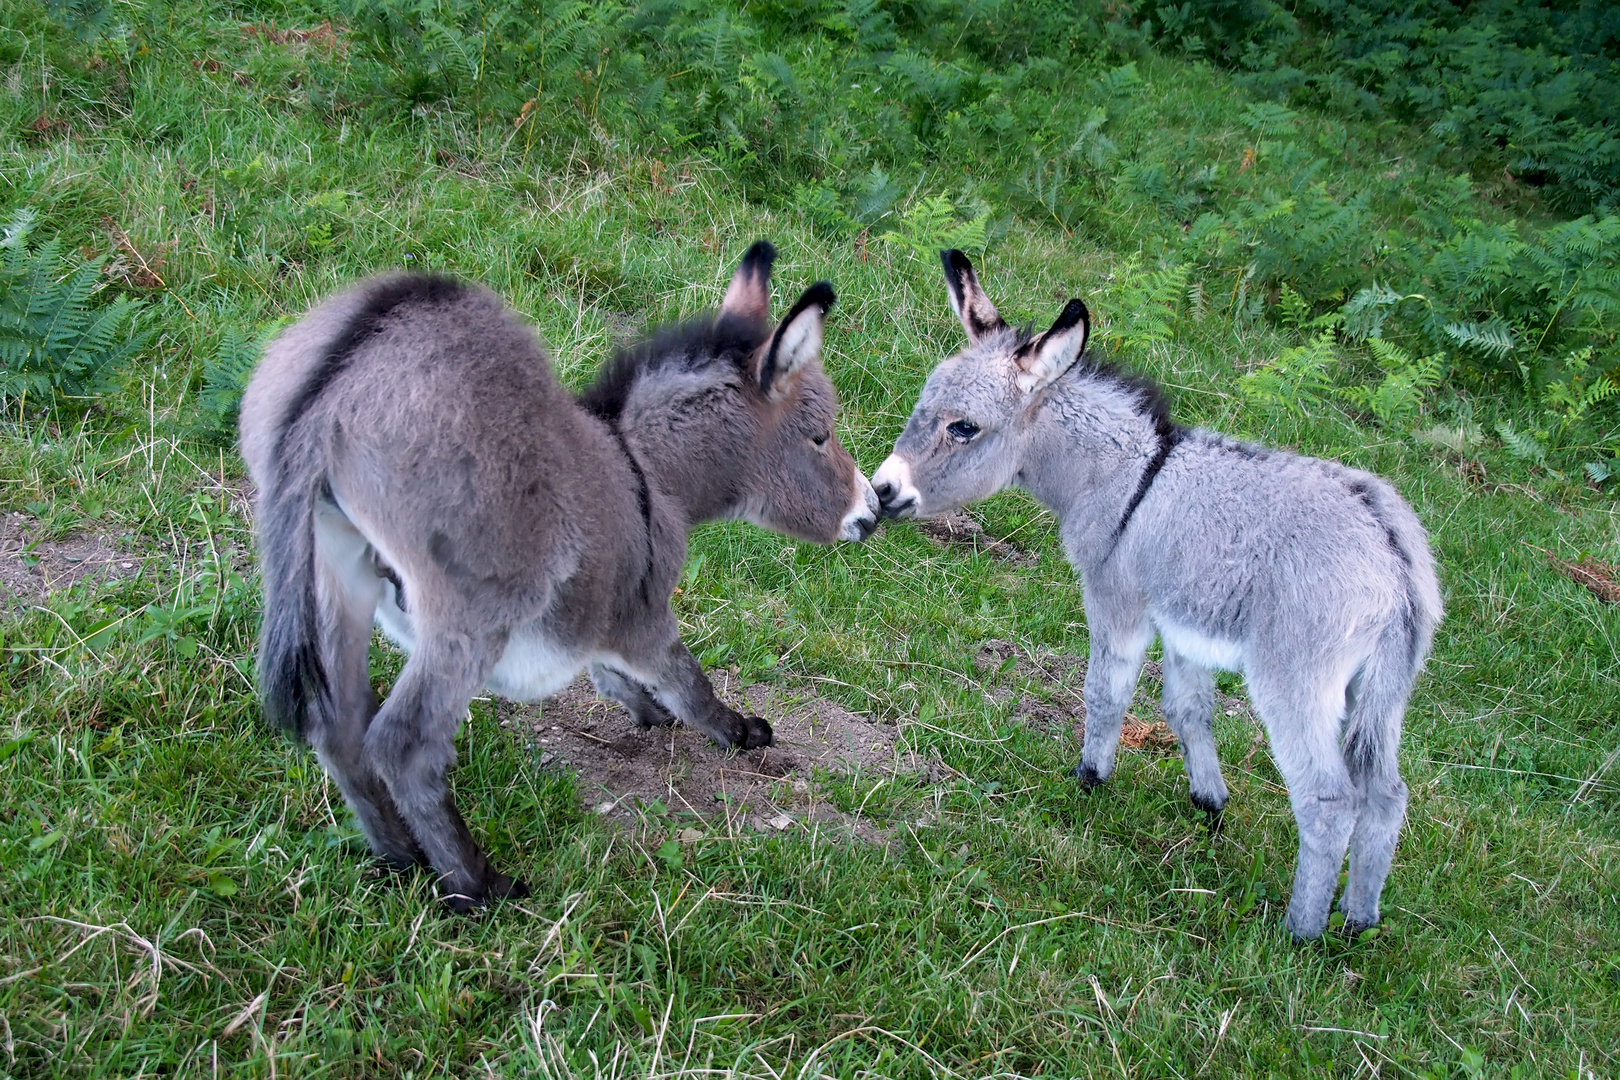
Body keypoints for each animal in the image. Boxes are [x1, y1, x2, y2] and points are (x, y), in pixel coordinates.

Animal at [241, 241, 881, 906]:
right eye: (819, 436)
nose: (874, 510)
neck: (644, 468)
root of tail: (339, 386)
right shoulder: (644, 614)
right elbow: (689, 680)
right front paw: (738, 731)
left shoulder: (600, 611)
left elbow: (611, 674)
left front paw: (647, 711)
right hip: (473, 611)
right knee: (403, 745)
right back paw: (476, 887)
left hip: (335, 575)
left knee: (337, 726)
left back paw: (398, 858)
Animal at [881, 250, 1438, 939]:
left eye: (964, 428)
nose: (880, 491)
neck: (1130, 475)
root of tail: (1394, 563)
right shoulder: (1184, 627)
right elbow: (1188, 710)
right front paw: (1210, 804)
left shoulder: (1117, 602)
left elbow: (1106, 693)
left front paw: (1088, 780)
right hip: (1384, 690)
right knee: (1386, 795)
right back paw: (1359, 919)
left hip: (1296, 679)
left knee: (1330, 801)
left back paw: (1300, 934)